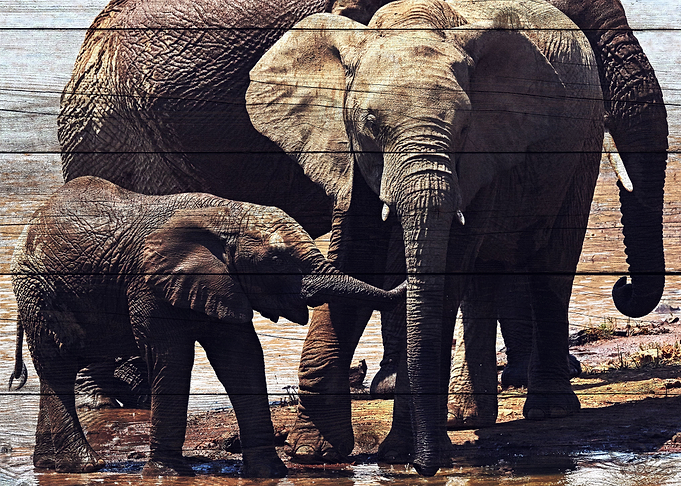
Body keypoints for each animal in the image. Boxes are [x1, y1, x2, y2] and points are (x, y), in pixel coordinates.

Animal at [9, 176, 406, 477]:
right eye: (277, 260)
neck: (226, 216)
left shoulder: (222, 283)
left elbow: (241, 358)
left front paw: (269, 473)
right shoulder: (147, 283)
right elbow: (171, 359)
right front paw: (168, 475)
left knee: (55, 371)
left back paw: (52, 467)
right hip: (37, 289)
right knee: (58, 366)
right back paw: (83, 466)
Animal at [55, 0, 666, 477]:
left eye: (466, 127)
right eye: (369, 125)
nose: (622, 288)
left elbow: (436, 264)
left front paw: (397, 447)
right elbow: (360, 252)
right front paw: (318, 450)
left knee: (547, 263)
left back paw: (541, 409)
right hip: (119, 133)